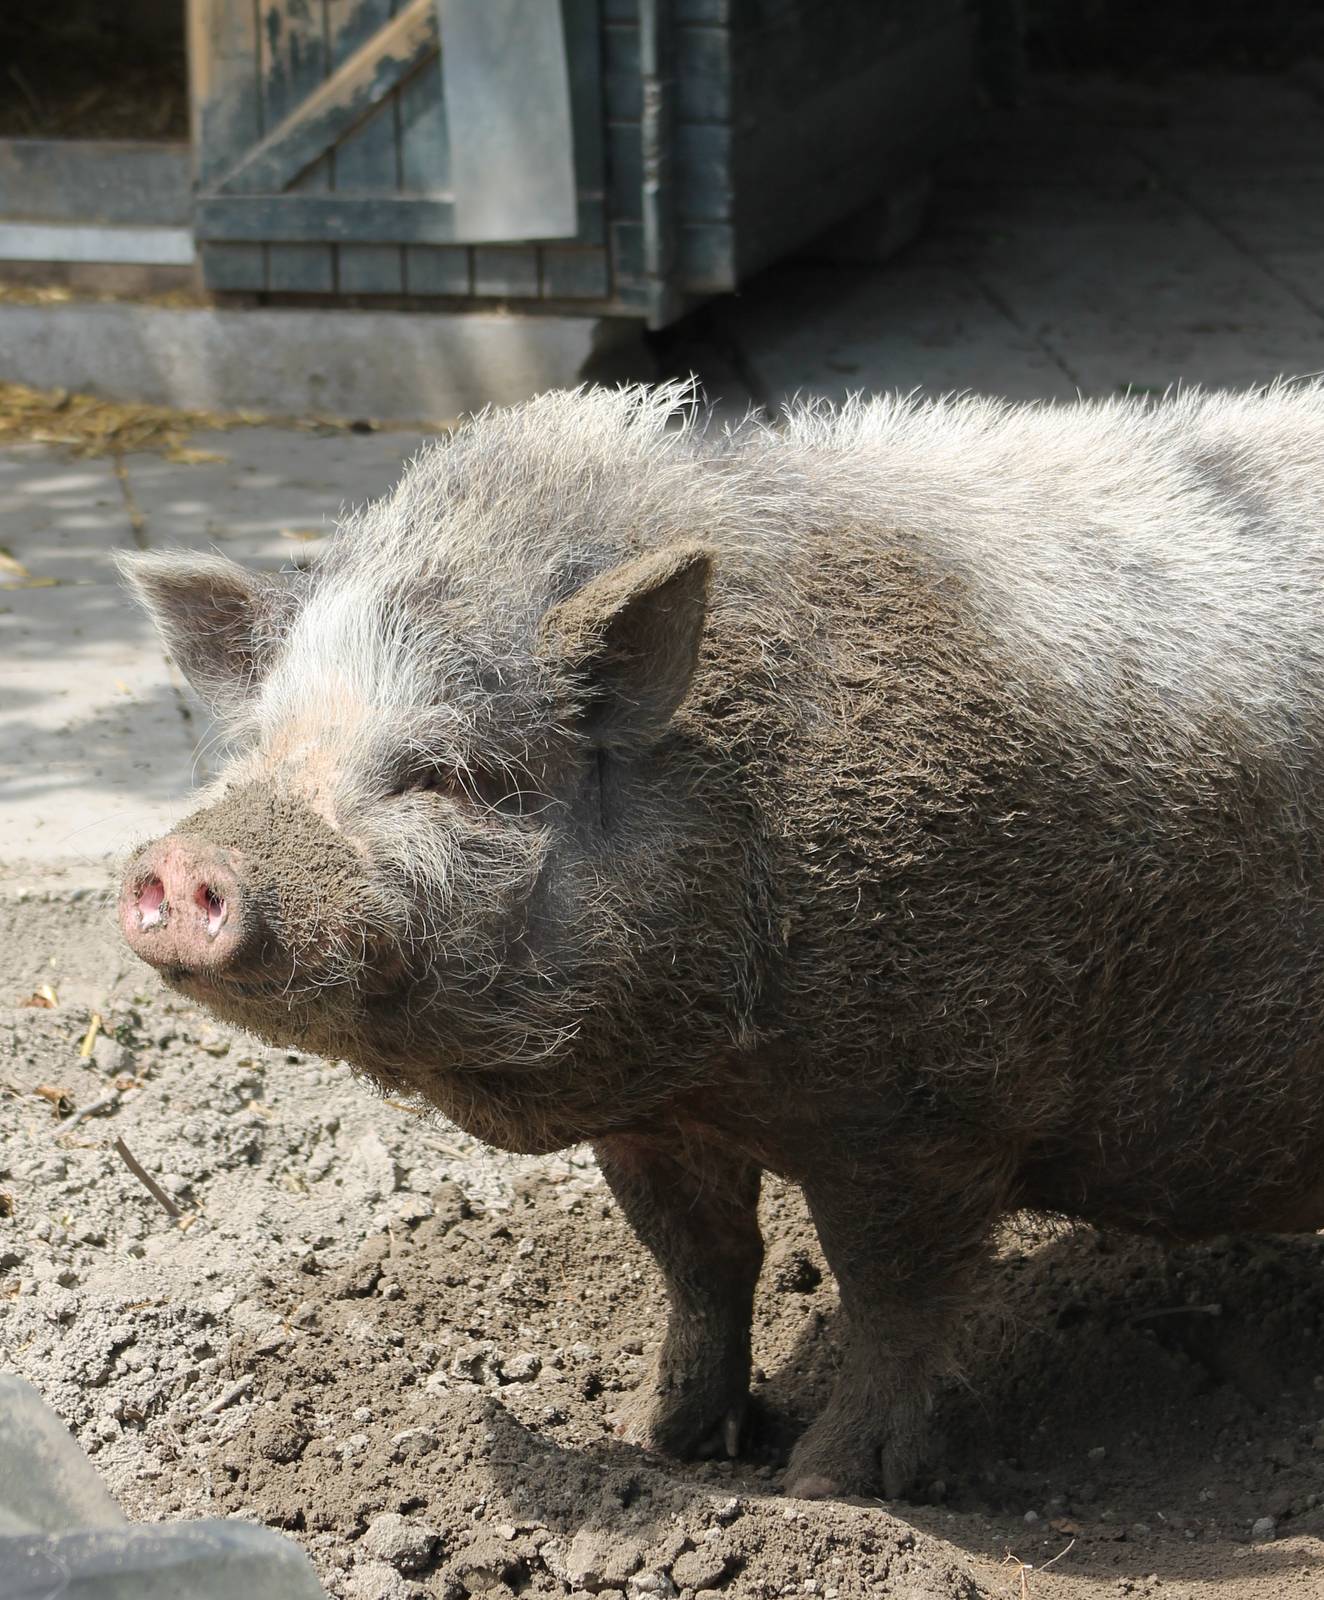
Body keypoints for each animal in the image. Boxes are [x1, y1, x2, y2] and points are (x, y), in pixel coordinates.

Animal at [117, 381, 1324, 1499]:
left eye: (446, 774)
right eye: (265, 745)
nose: (180, 862)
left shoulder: (928, 1111)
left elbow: (891, 1296)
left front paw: (825, 1487)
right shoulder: (656, 1121)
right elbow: (699, 1262)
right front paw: (666, 1443)